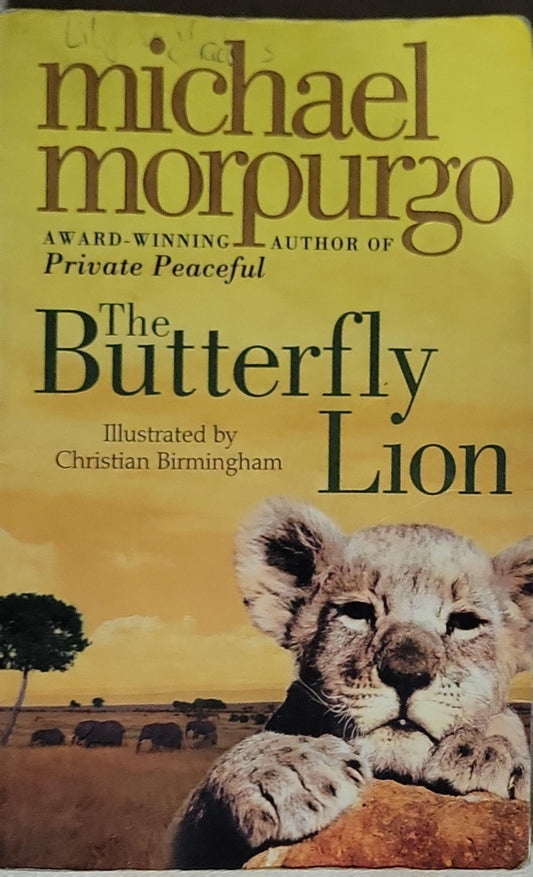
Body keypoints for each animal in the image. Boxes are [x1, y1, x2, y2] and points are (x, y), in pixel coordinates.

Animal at [170, 497, 532, 868]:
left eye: (464, 622)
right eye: (357, 612)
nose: (406, 672)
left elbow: (505, 724)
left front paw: (486, 751)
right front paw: (290, 773)